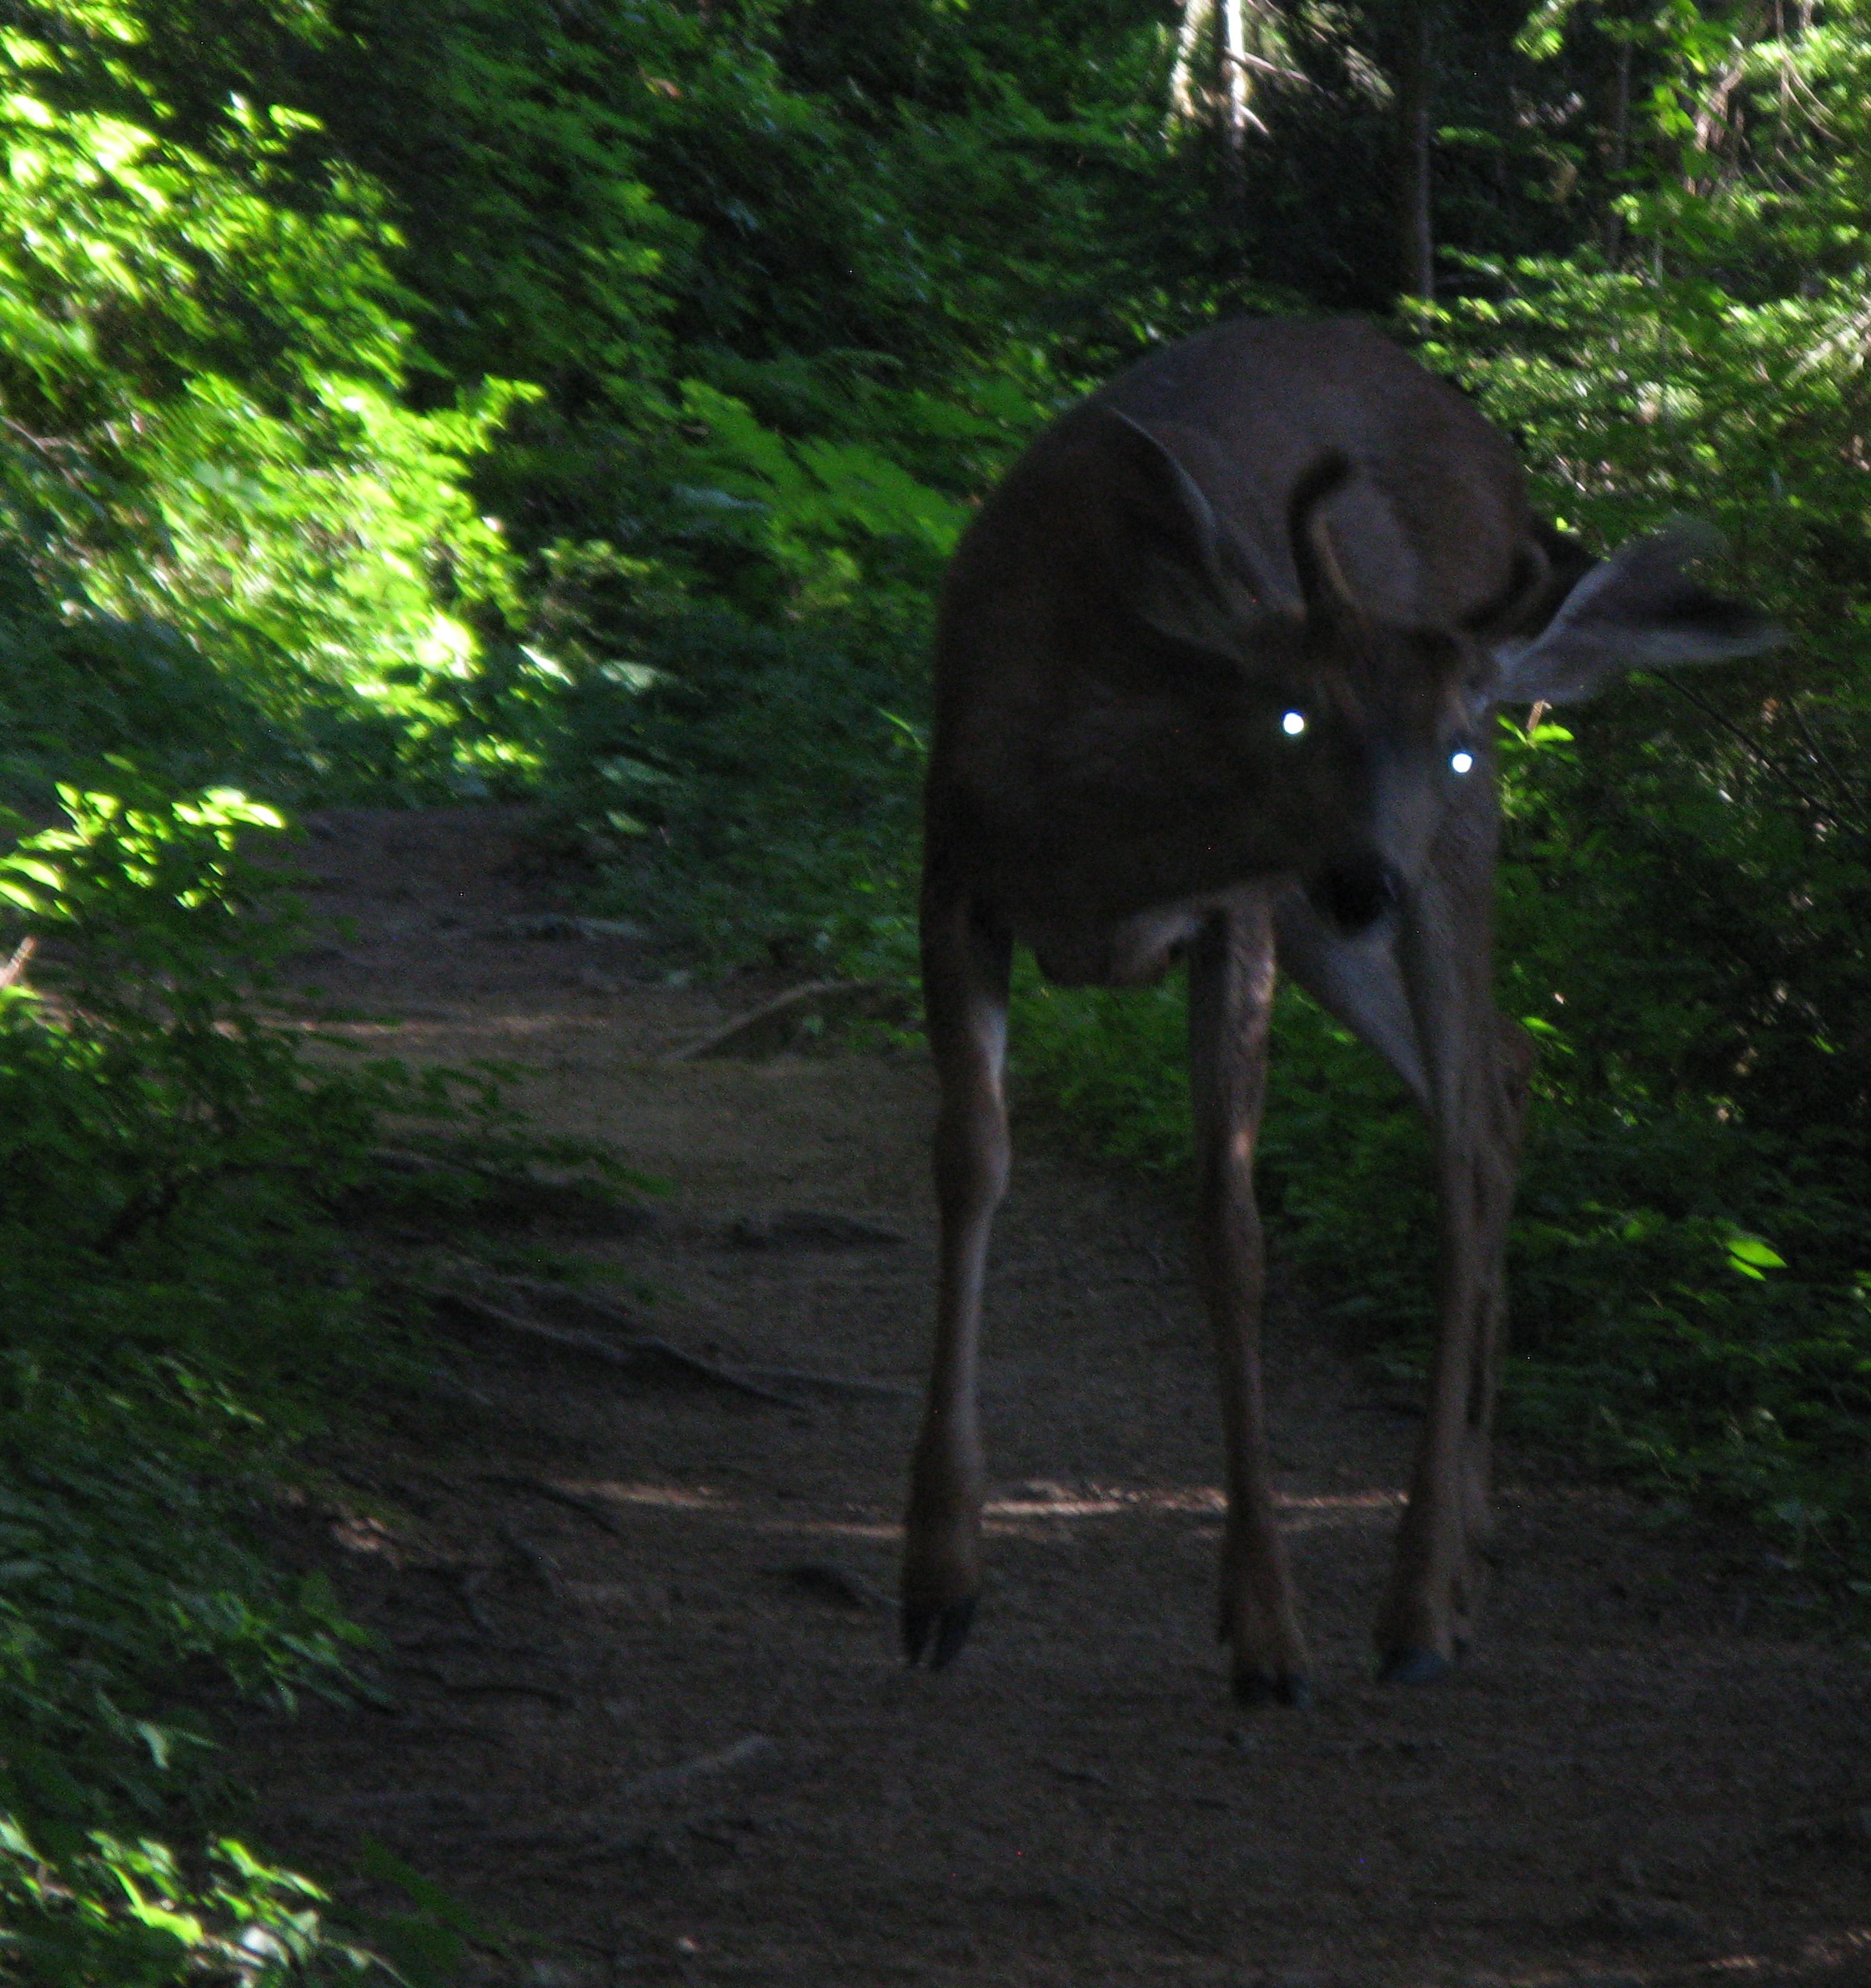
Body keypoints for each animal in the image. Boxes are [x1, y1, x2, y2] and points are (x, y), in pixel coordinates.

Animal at [900, 315, 1776, 1706]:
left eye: (1454, 744)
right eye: (1297, 714)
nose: (1369, 873)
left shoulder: (1239, 914)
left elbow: (1231, 1232)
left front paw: (1268, 1627)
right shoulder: (954, 876)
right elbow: (970, 1164)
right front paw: (938, 1579)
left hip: (1444, 864)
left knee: (1466, 1135)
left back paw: (1418, 1603)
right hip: (1334, 932)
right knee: (1506, 1071)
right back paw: (1471, 1541)